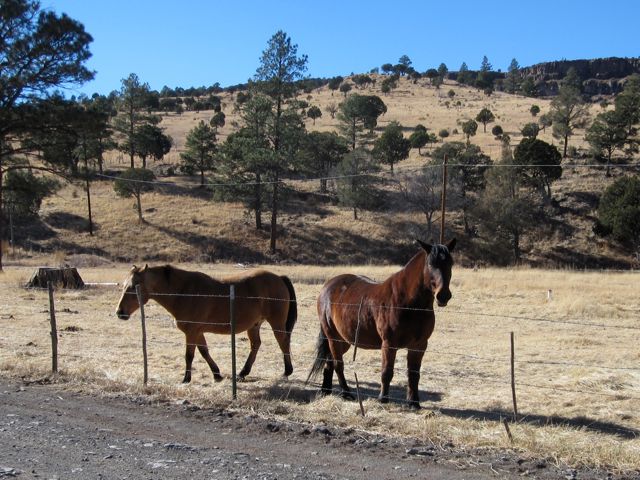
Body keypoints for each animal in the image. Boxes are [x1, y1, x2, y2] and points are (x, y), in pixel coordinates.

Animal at [115, 264, 298, 384]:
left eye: (133, 286)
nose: (119, 312)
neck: (183, 292)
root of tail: (279, 278)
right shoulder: (198, 332)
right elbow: (204, 352)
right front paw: (217, 374)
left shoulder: (191, 332)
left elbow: (189, 356)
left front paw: (186, 379)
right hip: (254, 325)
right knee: (256, 345)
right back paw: (242, 373)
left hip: (276, 322)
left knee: (283, 342)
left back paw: (287, 371)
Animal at [306, 238, 452, 406]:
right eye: (430, 264)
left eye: (450, 263)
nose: (443, 295)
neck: (408, 303)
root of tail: (328, 286)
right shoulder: (389, 343)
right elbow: (387, 371)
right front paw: (383, 399)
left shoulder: (419, 345)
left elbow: (414, 374)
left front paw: (413, 403)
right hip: (333, 337)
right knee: (338, 364)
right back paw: (346, 393)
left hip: (343, 340)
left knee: (329, 362)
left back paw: (326, 391)